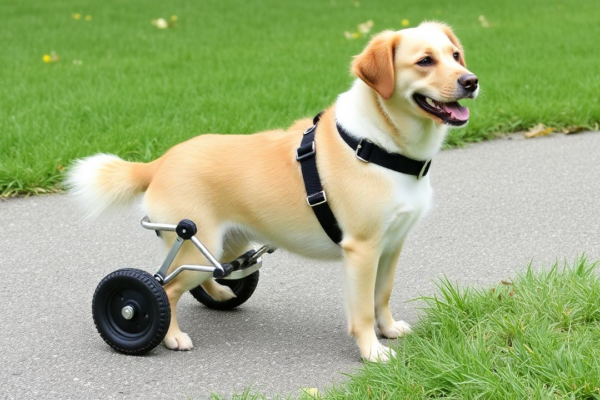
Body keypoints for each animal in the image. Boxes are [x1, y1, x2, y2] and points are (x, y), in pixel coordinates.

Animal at [67, 20, 478, 360]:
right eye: (424, 61)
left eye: (455, 55)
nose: (471, 81)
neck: (377, 144)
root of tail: (159, 162)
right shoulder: (362, 250)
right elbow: (362, 309)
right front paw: (371, 351)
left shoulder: (391, 246)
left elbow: (383, 295)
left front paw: (388, 330)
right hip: (194, 240)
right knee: (164, 289)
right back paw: (170, 336)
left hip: (221, 246)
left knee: (207, 275)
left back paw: (221, 294)